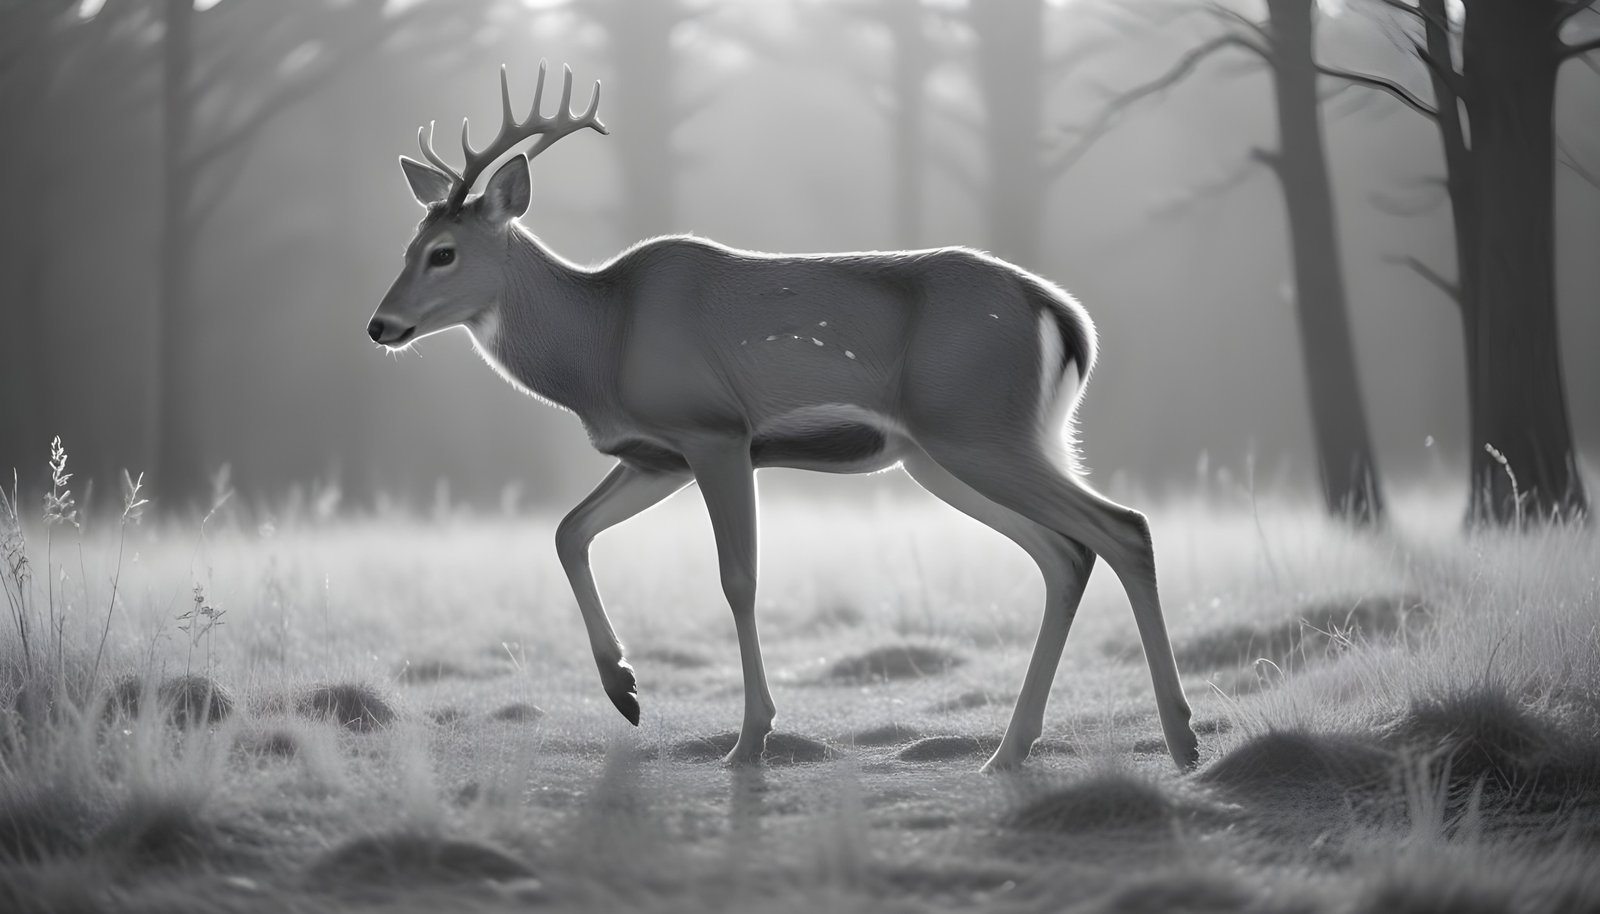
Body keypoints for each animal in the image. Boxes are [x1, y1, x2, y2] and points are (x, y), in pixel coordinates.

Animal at [367, 62, 1199, 773]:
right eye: (408, 244)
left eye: (444, 252)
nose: (380, 325)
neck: (600, 343)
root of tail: (1062, 315)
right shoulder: (653, 455)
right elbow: (569, 531)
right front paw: (624, 690)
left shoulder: (715, 430)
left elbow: (739, 577)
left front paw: (750, 738)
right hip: (952, 451)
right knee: (1066, 554)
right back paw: (1011, 751)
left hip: (978, 428)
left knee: (1123, 528)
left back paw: (1181, 739)